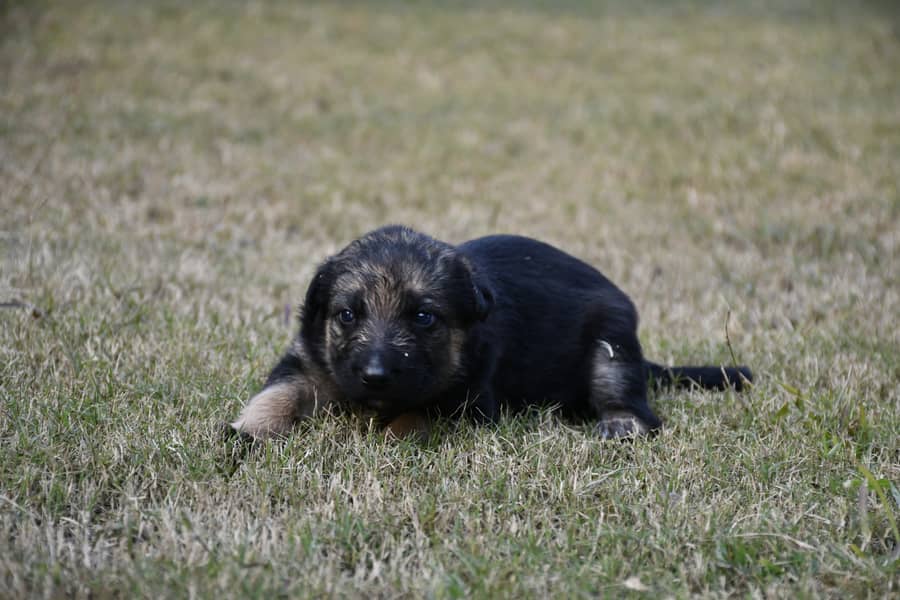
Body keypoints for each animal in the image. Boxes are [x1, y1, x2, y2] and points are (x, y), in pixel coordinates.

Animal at [232, 225, 752, 440]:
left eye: (424, 318)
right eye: (346, 315)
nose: (376, 376)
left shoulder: (468, 401)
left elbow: (417, 412)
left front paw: (392, 433)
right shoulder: (308, 361)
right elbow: (279, 390)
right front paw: (250, 429)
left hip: (613, 343)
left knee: (631, 400)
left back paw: (621, 423)